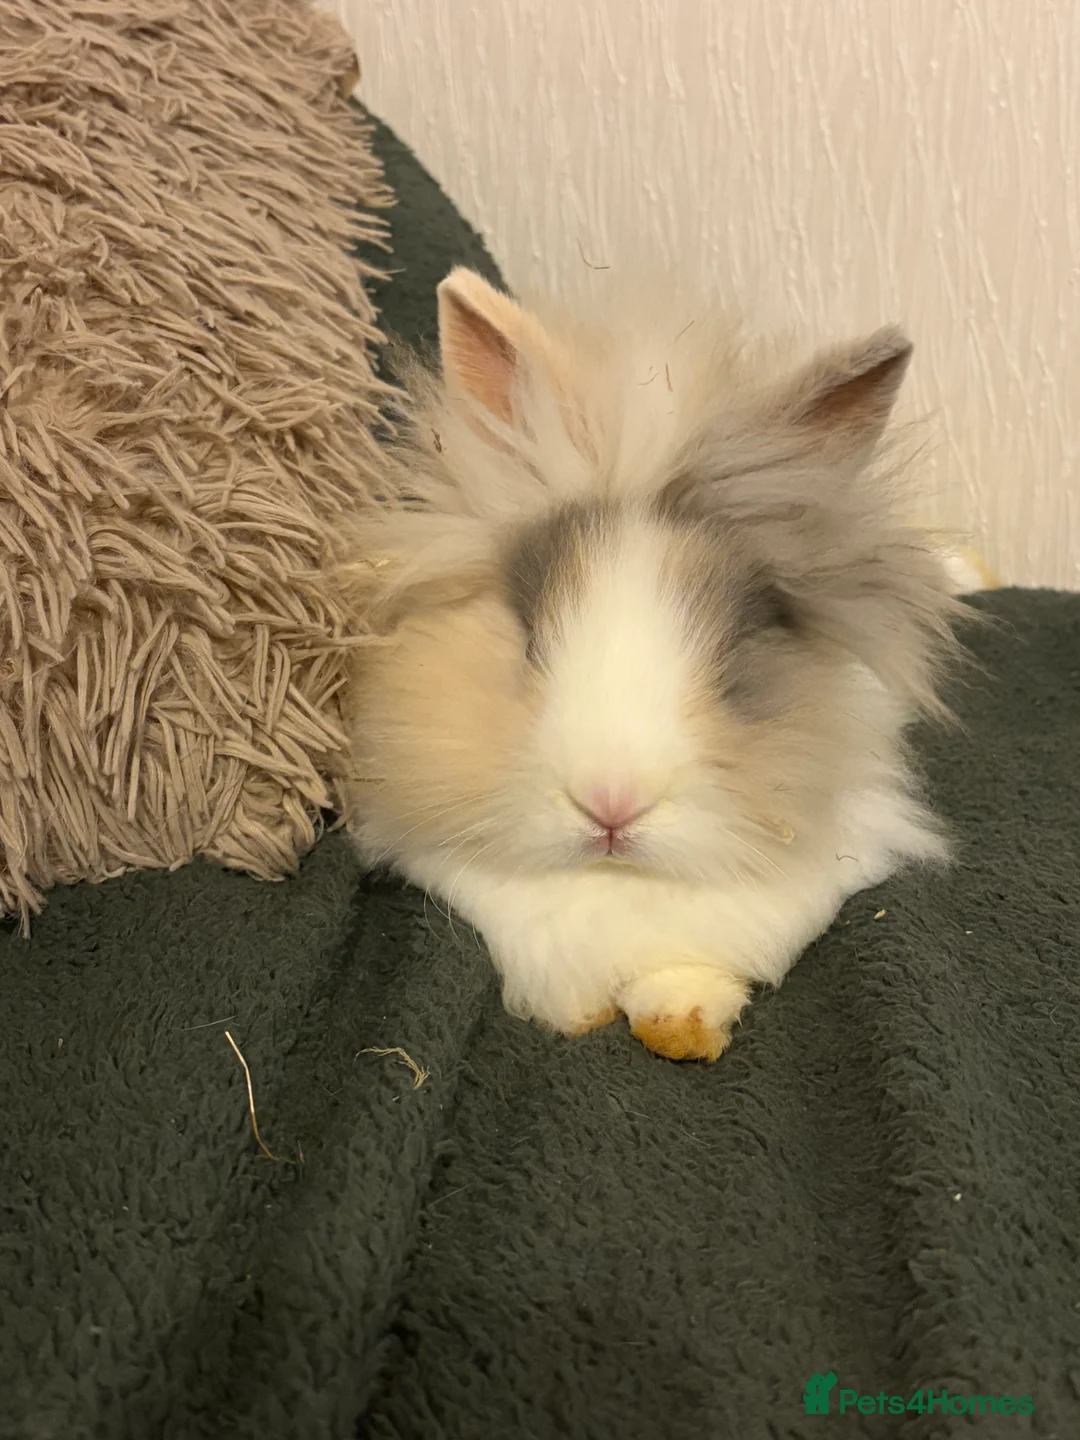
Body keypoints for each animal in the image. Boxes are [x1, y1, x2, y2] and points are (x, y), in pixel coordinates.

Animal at [335, 267, 959, 1062]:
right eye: (531, 639)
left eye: (732, 654)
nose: (611, 803)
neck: (616, 882)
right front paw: (575, 1012)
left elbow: (691, 972)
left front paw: (682, 1029)